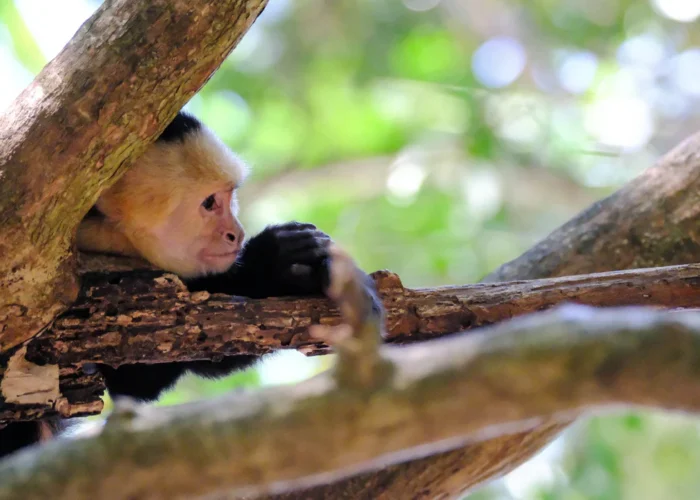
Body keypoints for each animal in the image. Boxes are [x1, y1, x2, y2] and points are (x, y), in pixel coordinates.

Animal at [0, 111, 380, 458]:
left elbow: (135, 381)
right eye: (209, 203)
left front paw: (293, 273)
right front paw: (270, 260)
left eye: (230, 196)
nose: (237, 233)